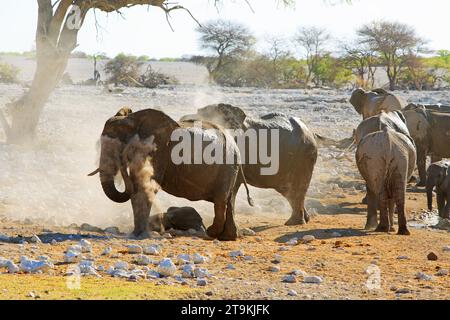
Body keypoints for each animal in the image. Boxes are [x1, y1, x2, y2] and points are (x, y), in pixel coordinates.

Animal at [89, 107, 253, 240]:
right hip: (231, 168)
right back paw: (227, 237)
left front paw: (138, 235)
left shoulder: (158, 149)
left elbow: (145, 186)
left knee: (221, 201)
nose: (122, 164)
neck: (133, 119)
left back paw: (212, 232)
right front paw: (136, 234)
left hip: (228, 166)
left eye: (119, 147)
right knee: (230, 199)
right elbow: (138, 187)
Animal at [179, 104, 316, 226]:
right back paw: (305, 219)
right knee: (288, 191)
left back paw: (294, 223)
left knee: (298, 188)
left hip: (305, 156)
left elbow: (233, 185)